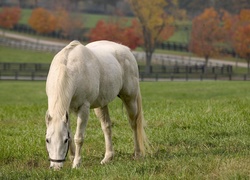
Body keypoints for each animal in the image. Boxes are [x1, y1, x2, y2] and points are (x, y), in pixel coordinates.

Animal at [45, 40, 148, 169]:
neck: (70, 69)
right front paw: (72, 157)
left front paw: (76, 163)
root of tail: (126, 50)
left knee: (134, 124)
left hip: (130, 99)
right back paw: (108, 158)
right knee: (107, 127)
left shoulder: (84, 108)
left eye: (64, 140)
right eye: (47, 140)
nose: (56, 166)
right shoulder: (66, 110)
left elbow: (78, 137)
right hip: (101, 105)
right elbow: (71, 134)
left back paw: (137, 153)